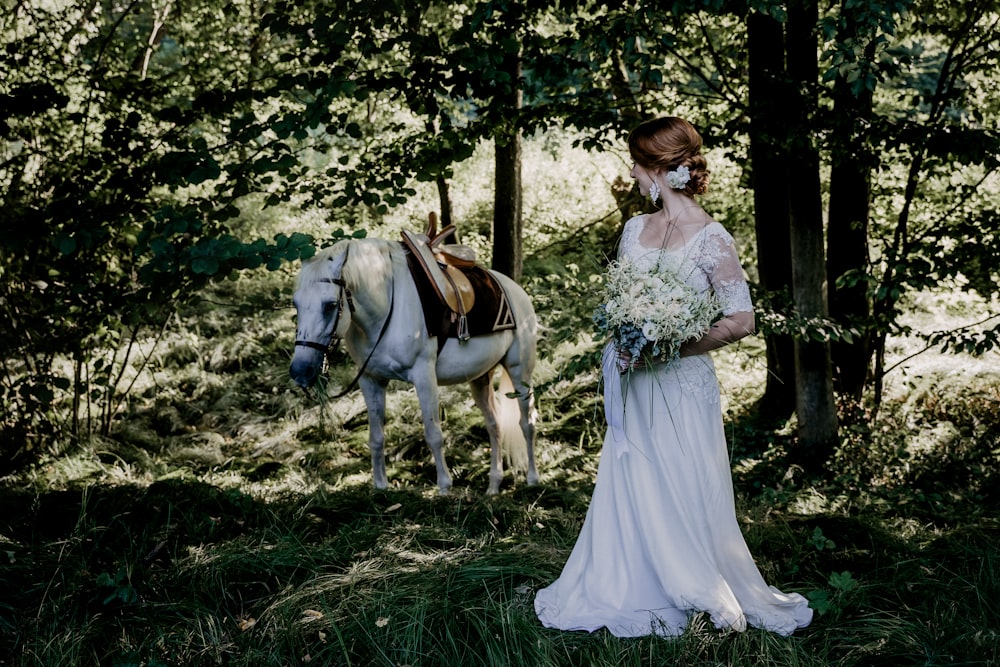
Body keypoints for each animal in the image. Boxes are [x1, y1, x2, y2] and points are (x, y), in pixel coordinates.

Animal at [290, 239, 540, 496]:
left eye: (330, 305)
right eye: (296, 304)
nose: (300, 371)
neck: (385, 309)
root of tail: (515, 290)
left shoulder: (424, 377)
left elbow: (433, 434)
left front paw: (444, 488)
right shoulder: (371, 380)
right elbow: (376, 437)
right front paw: (380, 488)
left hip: (520, 372)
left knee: (527, 422)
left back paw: (533, 479)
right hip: (480, 377)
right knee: (494, 425)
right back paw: (493, 486)